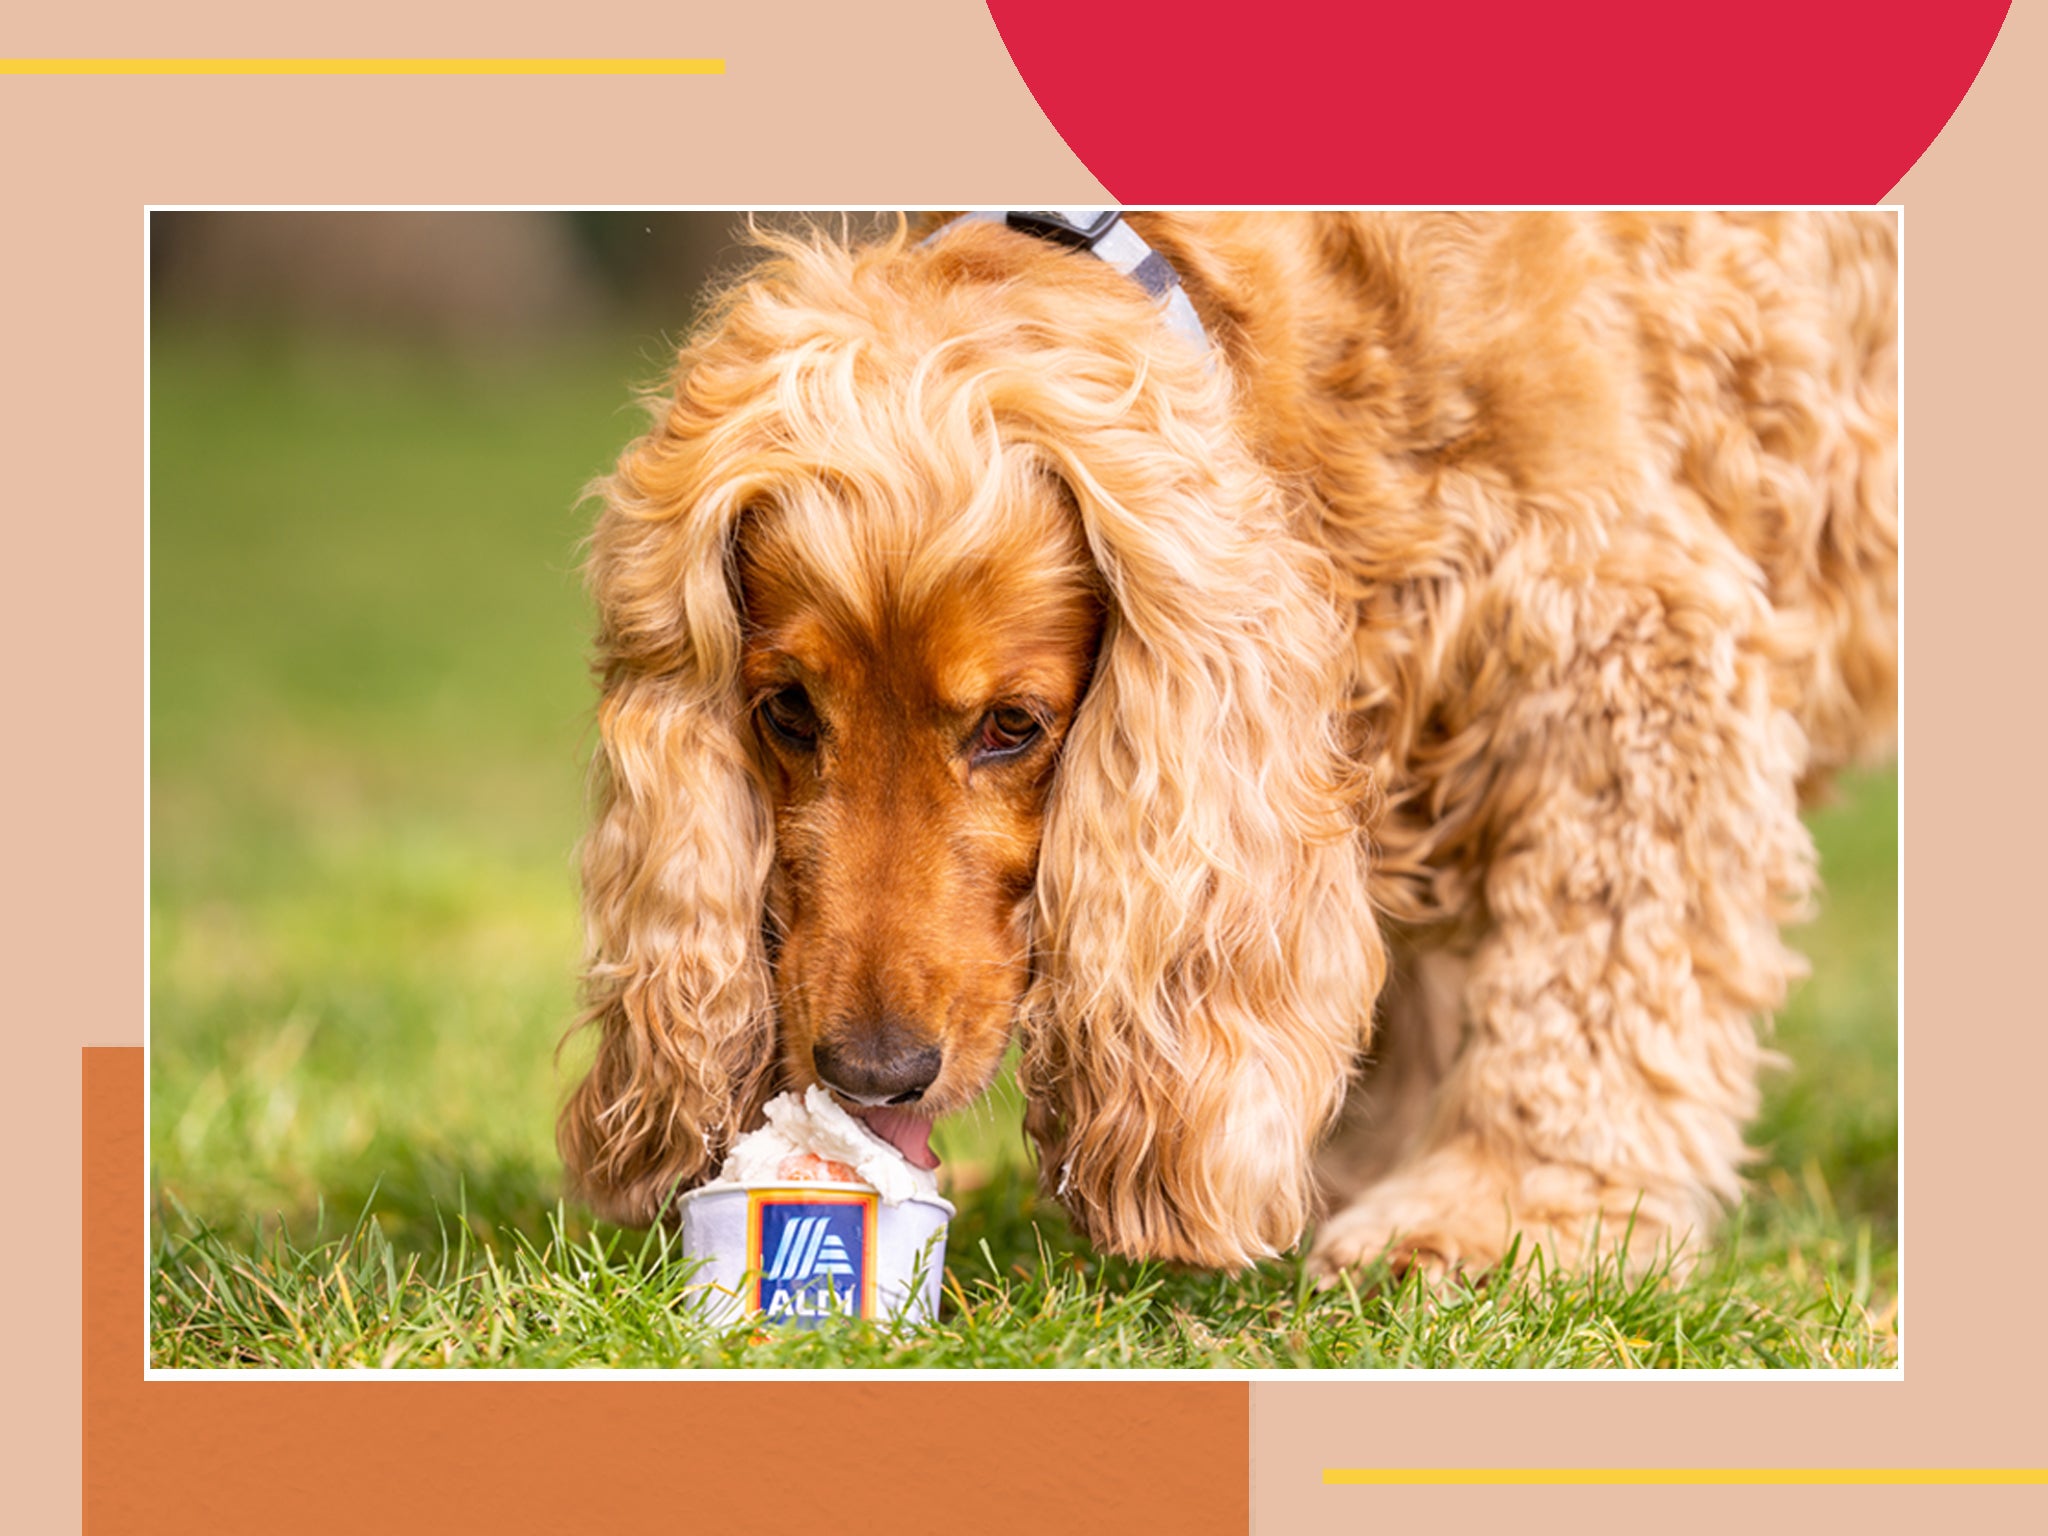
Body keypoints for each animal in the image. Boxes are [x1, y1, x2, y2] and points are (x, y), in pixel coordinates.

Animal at [552, 210, 1892, 1277]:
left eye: (1010, 727)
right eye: (786, 712)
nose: (870, 1077)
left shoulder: (1629, 642)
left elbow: (1589, 980)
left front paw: (1498, 1215)